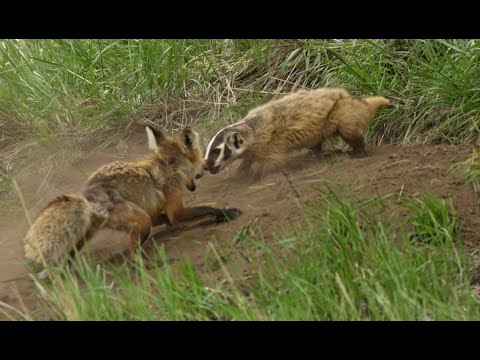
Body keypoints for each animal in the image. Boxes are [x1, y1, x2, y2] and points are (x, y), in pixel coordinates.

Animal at [23, 126, 242, 270]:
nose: (205, 168)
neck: (169, 164)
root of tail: (87, 195)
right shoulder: (174, 208)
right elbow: (204, 208)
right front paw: (226, 212)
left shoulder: (152, 209)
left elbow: (165, 218)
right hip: (141, 221)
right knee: (132, 257)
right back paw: (152, 264)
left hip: (86, 234)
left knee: (68, 257)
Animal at [202, 87, 390, 180]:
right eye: (207, 150)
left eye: (217, 151)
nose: (205, 165)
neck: (251, 130)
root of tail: (356, 100)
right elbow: (248, 159)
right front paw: (241, 170)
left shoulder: (269, 144)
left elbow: (273, 161)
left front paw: (257, 173)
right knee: (317, 143)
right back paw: (315, 154)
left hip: (342, 113)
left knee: (350, 132)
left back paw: (358, 152)